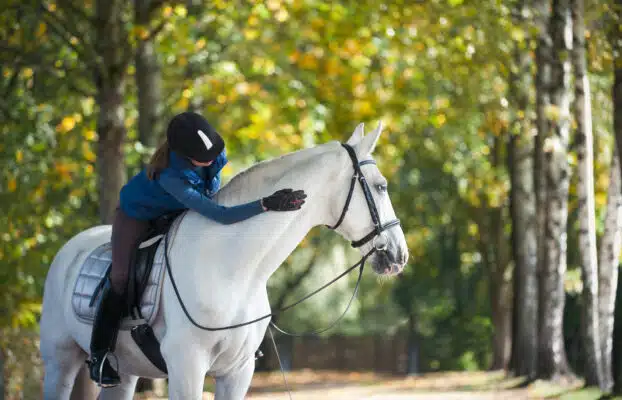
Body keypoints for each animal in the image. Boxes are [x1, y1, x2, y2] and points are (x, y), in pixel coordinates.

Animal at [39, 123, 410, 398]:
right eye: (381, 186)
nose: (398, 255)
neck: (234, 271)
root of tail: (71, 247)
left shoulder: (238, 372)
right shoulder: (187, 367)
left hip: (127, 372)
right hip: (60, 361)